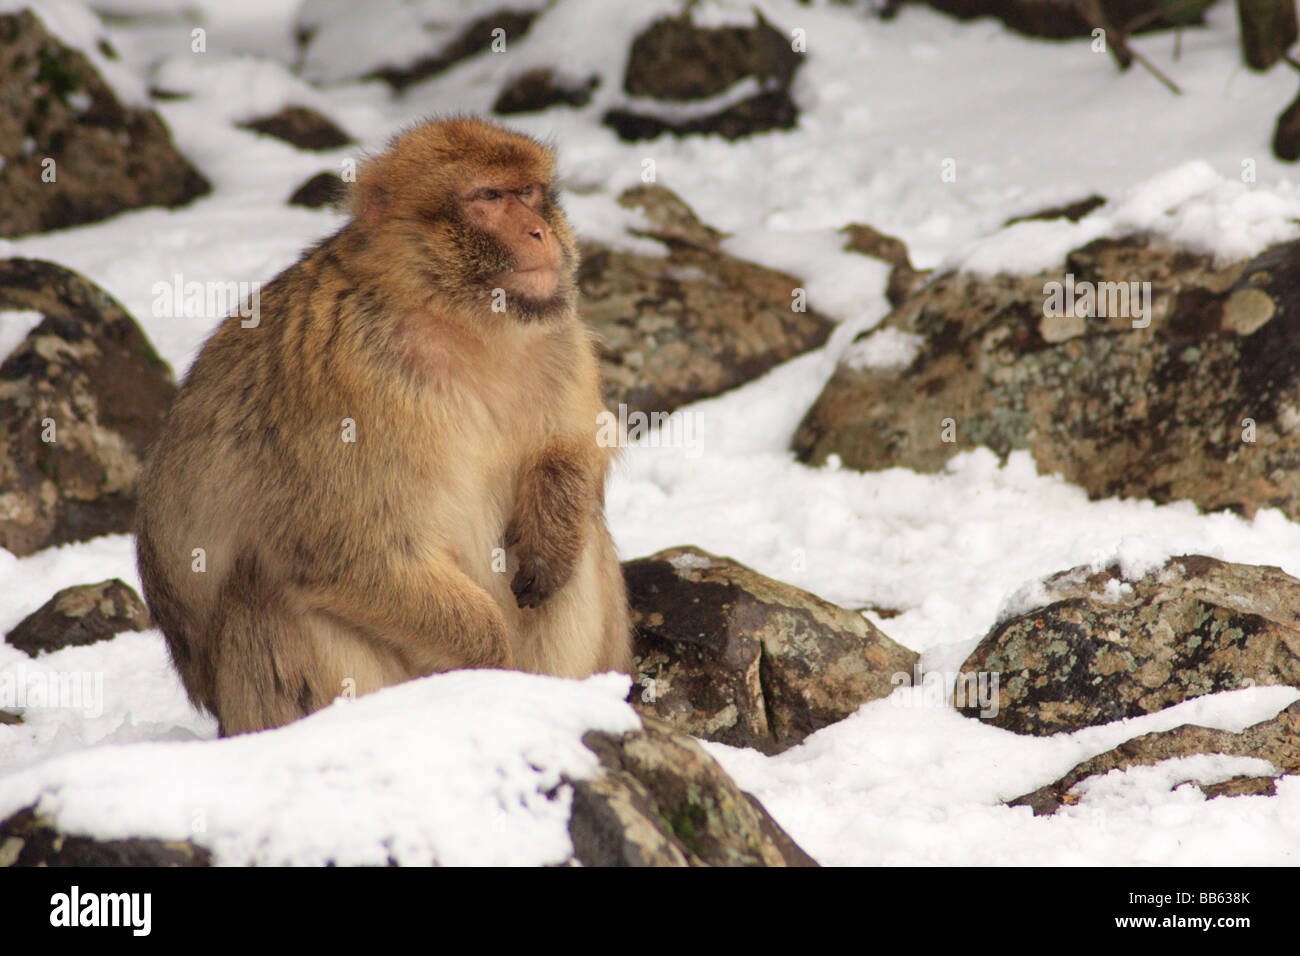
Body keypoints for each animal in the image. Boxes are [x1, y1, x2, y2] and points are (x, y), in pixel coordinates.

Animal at [135, 116, 632, 736]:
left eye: (529, 192)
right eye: (489, 197)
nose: (540, 231)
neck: (460, 324)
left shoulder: (559, 339)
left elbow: (577, 444)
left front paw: (551, 529)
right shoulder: (350, 376)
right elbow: (346, 553)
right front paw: (489, 663)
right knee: (261, 587)